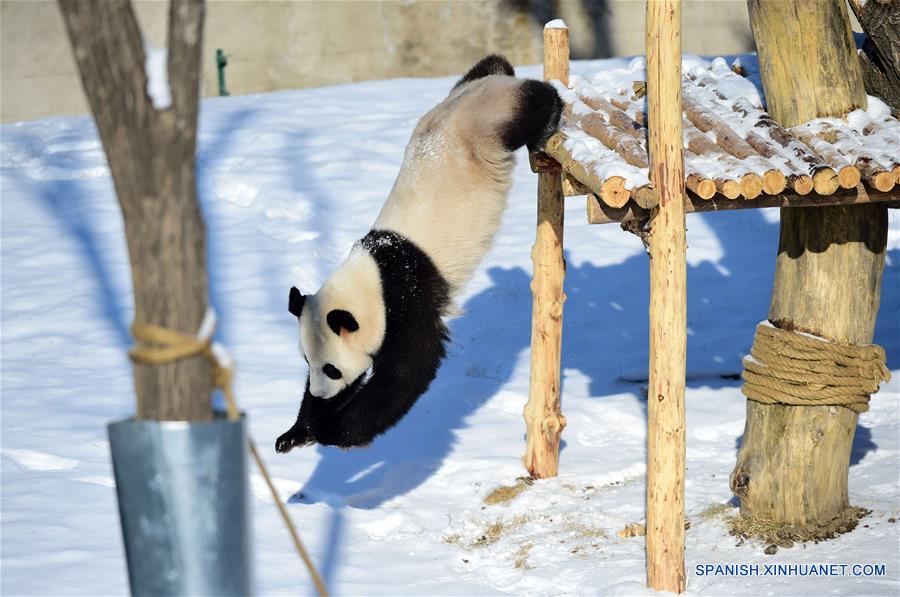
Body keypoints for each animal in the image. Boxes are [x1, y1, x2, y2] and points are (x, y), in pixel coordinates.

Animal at [274, 54, 560, 452]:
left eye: (331, 368)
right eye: (305, 359)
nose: (322, 393)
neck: (372, 270)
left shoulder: (406, 297)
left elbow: (408, 370)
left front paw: (330, 430)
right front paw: (296, 431)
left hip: (491, 120)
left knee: (532, 103)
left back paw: (549, 111)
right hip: (471, 93)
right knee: (490, 65)